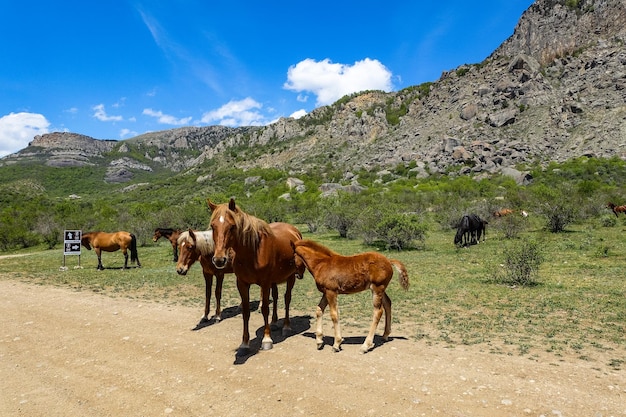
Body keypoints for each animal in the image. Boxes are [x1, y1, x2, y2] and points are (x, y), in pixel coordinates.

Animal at [206, 198, 304, 352]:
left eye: (232, 226)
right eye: (213, 226)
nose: (219, 260)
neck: (252, 252)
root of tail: (294, 231)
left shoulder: (265, 283)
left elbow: (264, 308)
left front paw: (266, 339)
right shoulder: (242, 283)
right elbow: (246, 311)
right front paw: (244, 343)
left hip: (290, 277)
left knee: (287, 298)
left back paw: (286, 327)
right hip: (274, 281)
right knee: (276, 297)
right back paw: (274, 323)